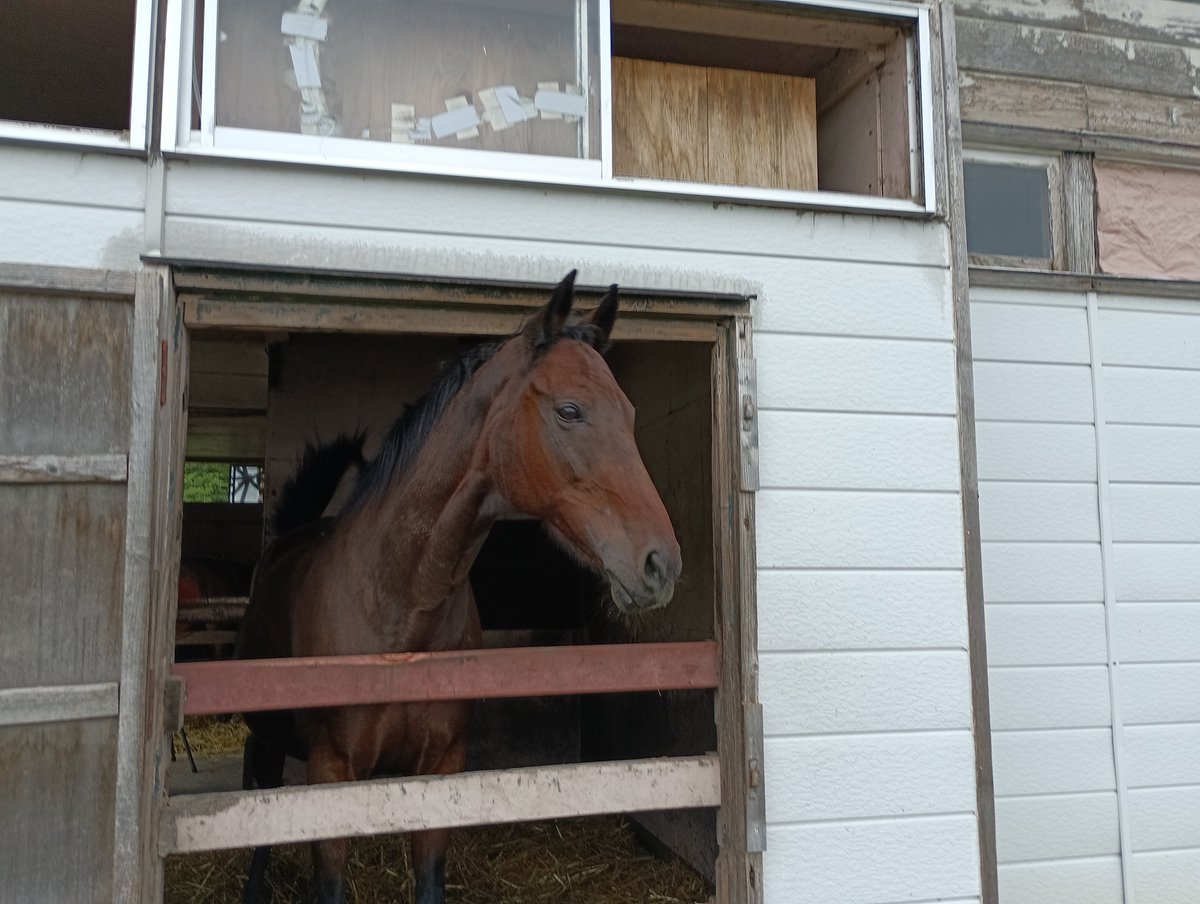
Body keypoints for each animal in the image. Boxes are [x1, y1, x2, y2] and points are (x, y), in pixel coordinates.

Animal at [235, 271, 682, 904]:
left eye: (629, 412)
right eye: (569, 410)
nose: (659, 564)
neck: (401, 610)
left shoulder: (441, 769)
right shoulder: (331, 774)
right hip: (272, 743)